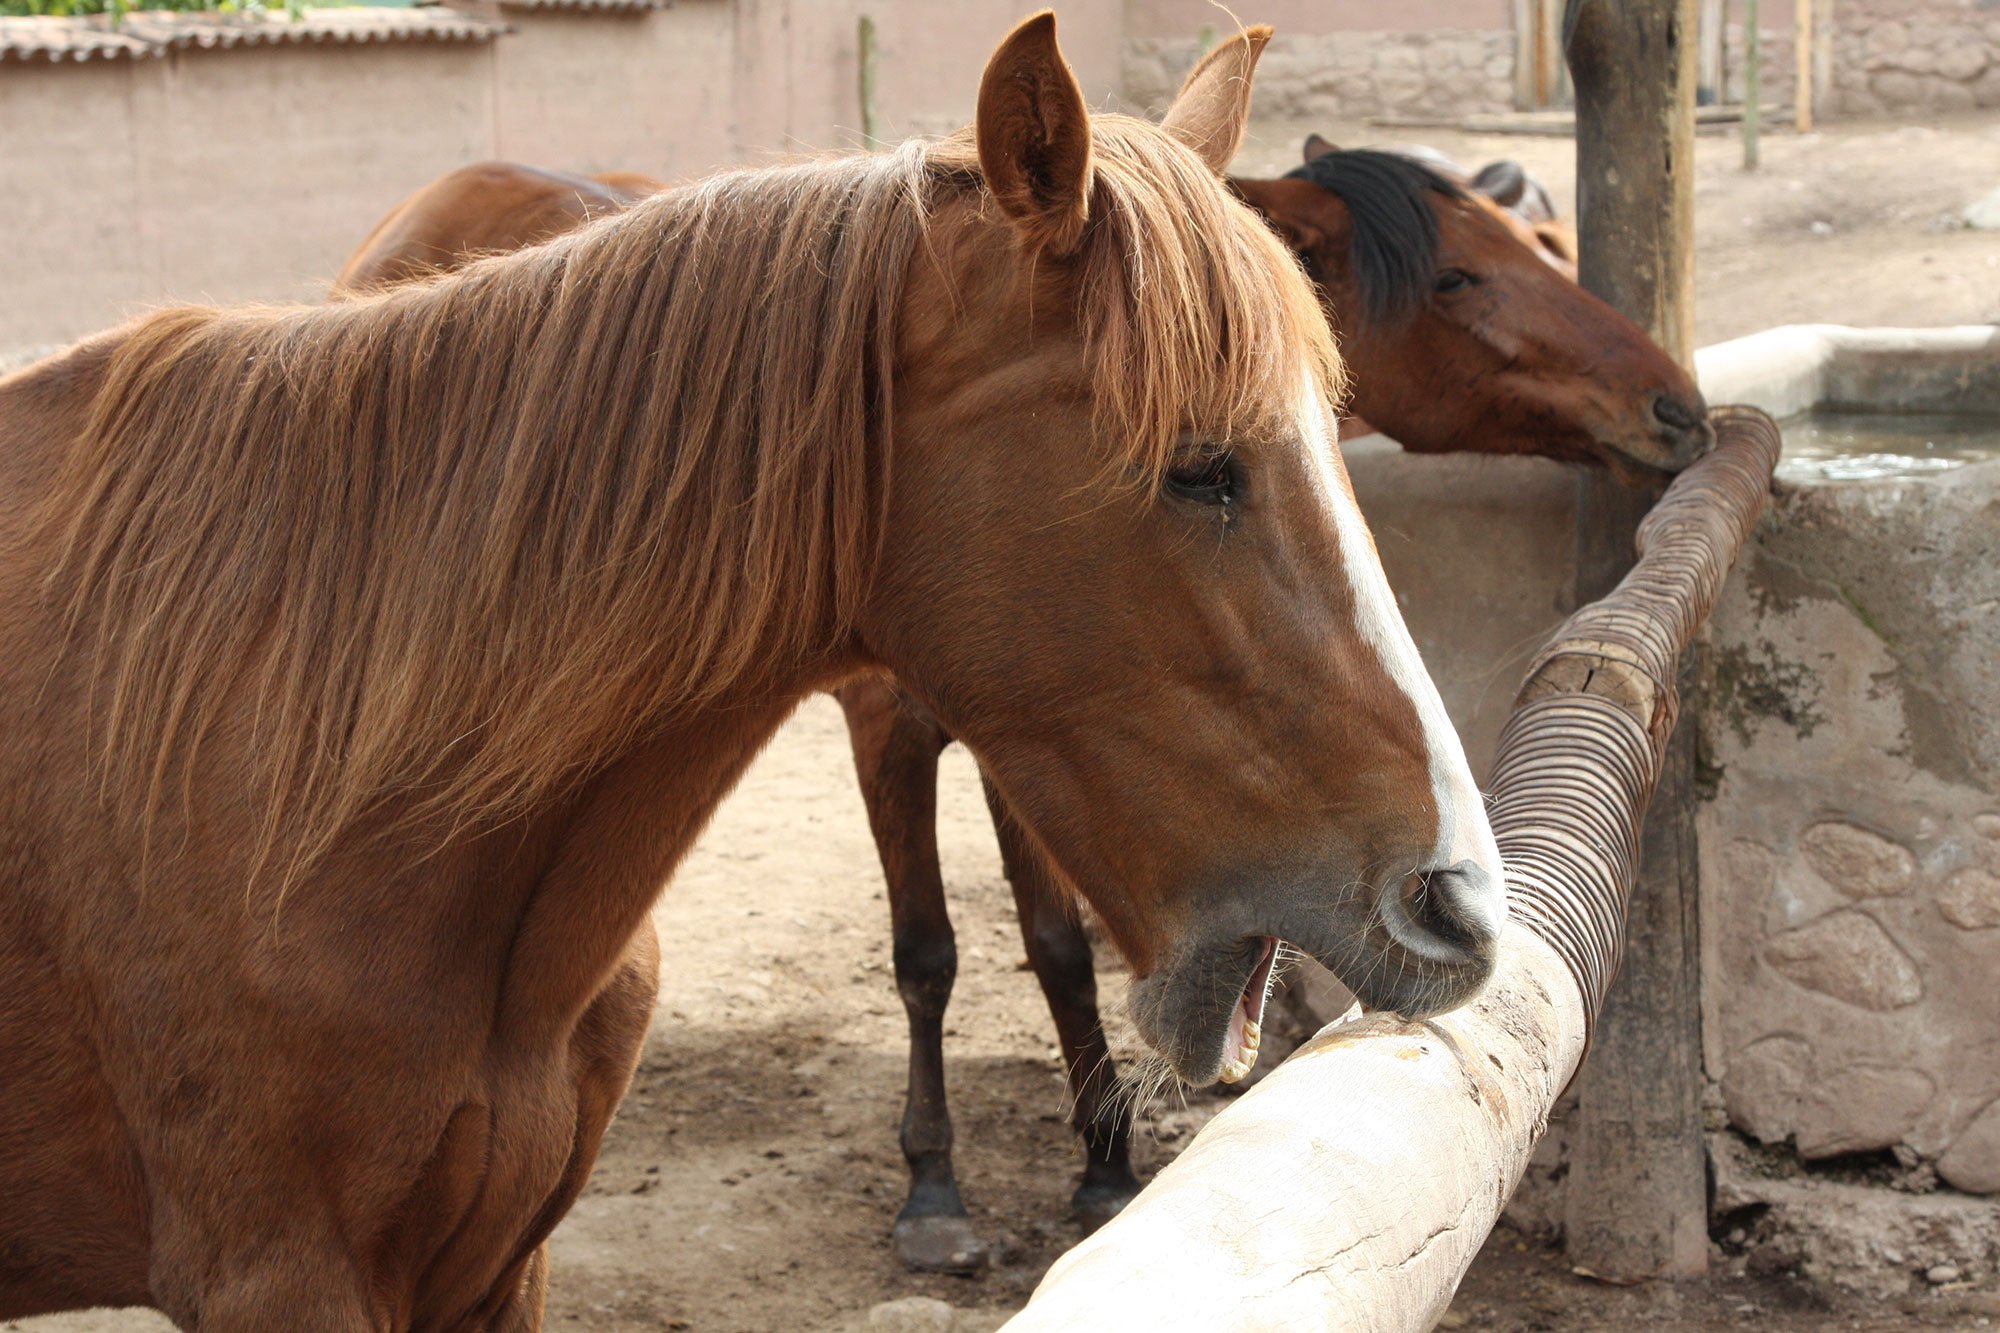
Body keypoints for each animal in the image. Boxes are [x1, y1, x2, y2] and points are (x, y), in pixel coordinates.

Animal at [332, 136, 1708, 1274]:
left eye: (1545, 247)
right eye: (1457, 281)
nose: (1676, 404)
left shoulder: (1036, 730)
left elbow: (1055, 943)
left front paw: (1100, 1161)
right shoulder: (892, 727)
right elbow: (929, 955)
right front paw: (933, 1190)